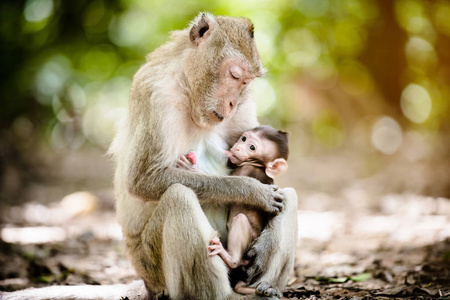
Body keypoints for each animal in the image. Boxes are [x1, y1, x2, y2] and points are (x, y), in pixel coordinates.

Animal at [177, 125, 288, 294]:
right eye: (244, 138)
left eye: (252, 147)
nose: (237, 148)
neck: (257, 165)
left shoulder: (245, 170)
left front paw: (192, 169)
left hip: (249, 242)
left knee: (240, 219)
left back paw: (231, 259)